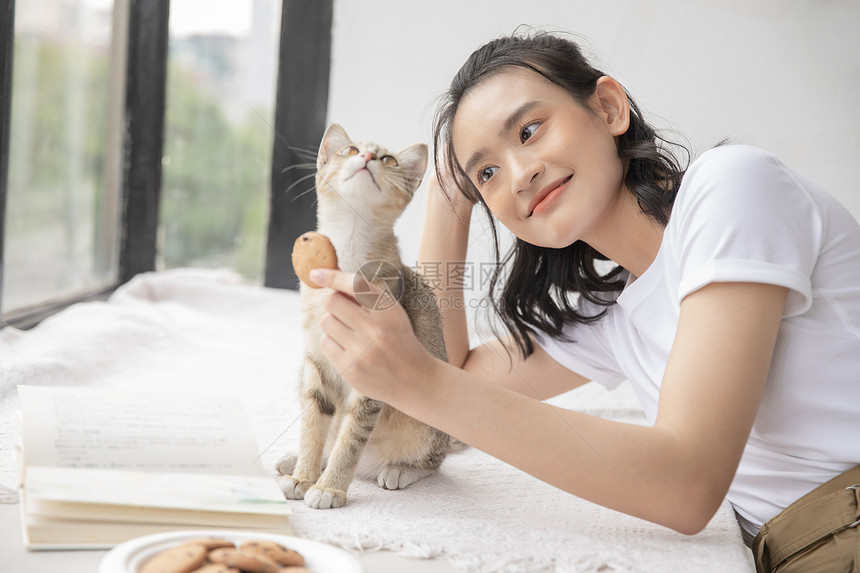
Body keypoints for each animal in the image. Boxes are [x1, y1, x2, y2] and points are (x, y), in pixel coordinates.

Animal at [276, 123, 450, 508]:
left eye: (389, 160)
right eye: (351, 150)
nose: (368, 156)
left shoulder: (373, 370)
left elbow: (351, 437)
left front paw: (329, 488)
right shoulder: (315, 365)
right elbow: (313, 424)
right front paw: (305, 476)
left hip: (428, 427)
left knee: (433, 464)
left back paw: (399, 470)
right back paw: (295, 461)